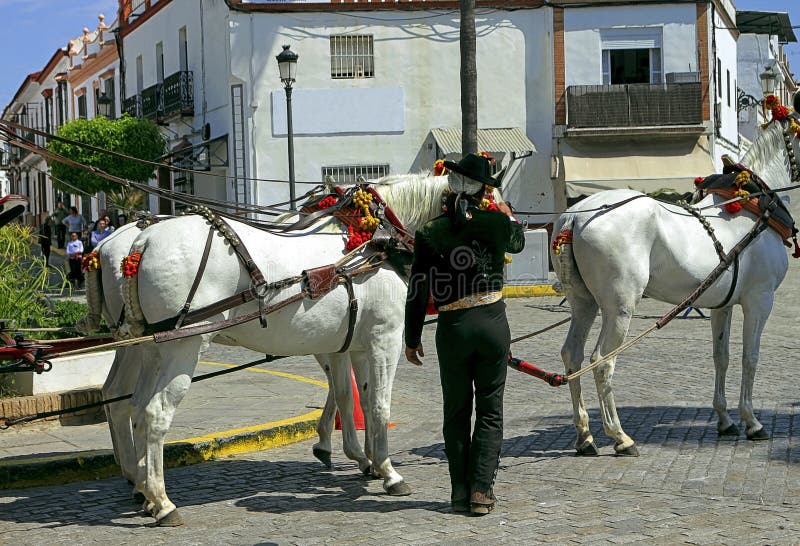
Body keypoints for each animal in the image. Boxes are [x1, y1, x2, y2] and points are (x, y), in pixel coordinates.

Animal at [84, 174, 454, 524]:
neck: (375, 242)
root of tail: (141, 241)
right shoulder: (384, 338)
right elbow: (377, 406)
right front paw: (388, 471)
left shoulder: (350, 343)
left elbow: (352, 397)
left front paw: (365, 459)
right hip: (182, 347)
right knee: (155, 412)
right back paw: (161, 502)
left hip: (148, 348)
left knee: (129, 404)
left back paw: (143, 487)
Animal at [552, 116, 800, 454]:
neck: (752, 208)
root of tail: (575, 218)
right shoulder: (759, 301)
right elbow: (750, 358)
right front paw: (752, 421)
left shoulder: (722, 305)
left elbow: (721, 357)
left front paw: (726, 420)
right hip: (619, 308)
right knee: (601, 362)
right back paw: (620, 436)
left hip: (583, 303)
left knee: (573, 357)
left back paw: (585, 435)